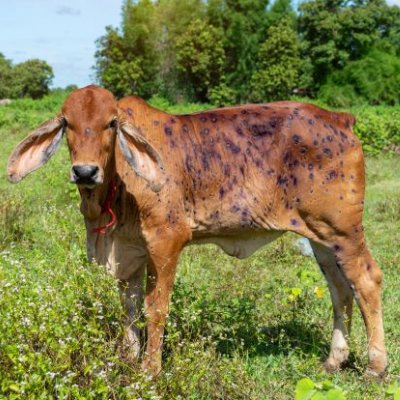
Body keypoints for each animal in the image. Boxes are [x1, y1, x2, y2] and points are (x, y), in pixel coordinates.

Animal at [7, 85, 388, 378]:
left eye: (111, 123)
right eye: (67, 123)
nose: (85, 172)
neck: (113, 190)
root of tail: (341, 119)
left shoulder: (166, 240)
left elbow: (155, 308)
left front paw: (150, 370)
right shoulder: (128, 250)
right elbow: (128, 308)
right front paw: (128, 361)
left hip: (345, 230)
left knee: (367, 280)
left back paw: (375, 367)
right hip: (320, 236)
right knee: (340, 289)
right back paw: (334, 361)